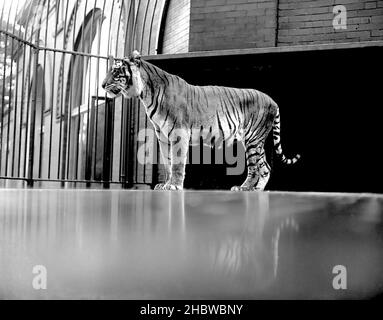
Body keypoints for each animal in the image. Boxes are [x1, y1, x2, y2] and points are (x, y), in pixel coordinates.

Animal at [102, 50, 300, 190]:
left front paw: (174, 186)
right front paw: (165, 184)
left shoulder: (178, 132)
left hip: (253, 139)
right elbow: (167, 161)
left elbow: (177, 162)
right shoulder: (162, 136)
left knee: (258, 168)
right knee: (264, 167)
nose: (103, 85)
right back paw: (251, 190)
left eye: (116, 70)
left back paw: (246, 188)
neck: (145, 93)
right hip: (254, 141)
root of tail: (272, 100)